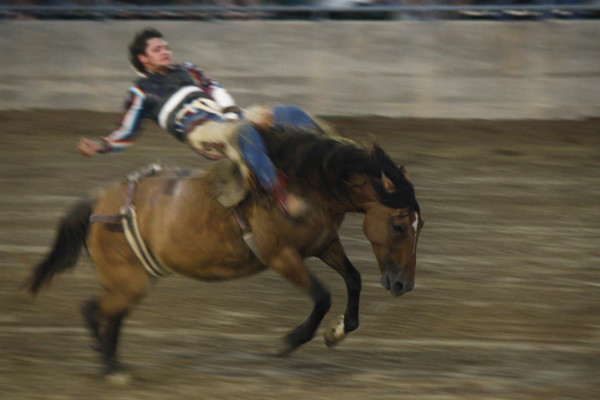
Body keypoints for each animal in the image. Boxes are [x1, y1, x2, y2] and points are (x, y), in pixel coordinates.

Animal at [25, 128, 424, 376]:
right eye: (399, 226)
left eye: (420, 227)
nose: (403, 284)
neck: (307, 186)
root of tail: (97, 202)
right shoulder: (280, 256)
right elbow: (323, 295)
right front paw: (291, 340)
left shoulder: (325, 244)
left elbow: (353, 279)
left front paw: (337, 332)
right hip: (128, 280)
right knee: (97, 311)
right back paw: (110, 369)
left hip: (133, 280)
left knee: (106, 313)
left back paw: (112, 362)